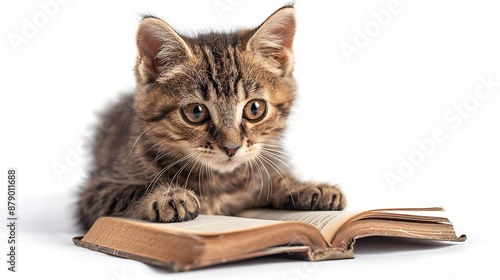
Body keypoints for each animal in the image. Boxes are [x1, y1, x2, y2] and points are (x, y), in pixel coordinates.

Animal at [77, 6, 344, 230]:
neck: (219, 182)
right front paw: (167, 196)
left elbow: (271, 177)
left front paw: (303, 186)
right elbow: (130, 191)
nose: (231, 147)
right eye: (196, 112)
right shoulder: (95, 191)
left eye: (255, 109)